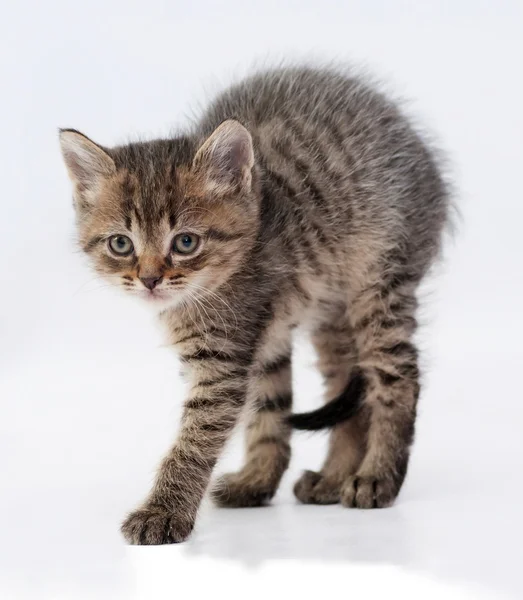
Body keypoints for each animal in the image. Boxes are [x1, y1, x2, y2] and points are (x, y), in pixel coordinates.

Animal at [58, 64, 450, 544]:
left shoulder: (223, 358)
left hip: (380, 286)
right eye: (120, 244)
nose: (149, 280)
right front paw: (257, 480)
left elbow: (195, 439)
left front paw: (163, 513)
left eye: (185, 242)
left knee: (398, 378)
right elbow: (268, 410)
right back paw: (330, 478)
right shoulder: (261, 338)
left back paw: (376, 477)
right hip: (329, 319)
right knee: (344, 386)